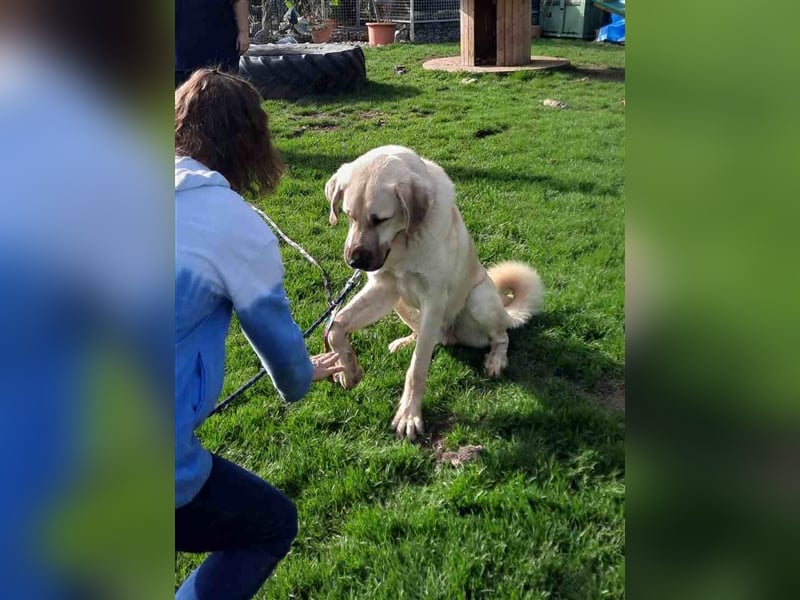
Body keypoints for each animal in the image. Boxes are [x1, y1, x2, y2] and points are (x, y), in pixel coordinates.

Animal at [324, 145, 544, 436]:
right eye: (349, 215)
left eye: (380, 219)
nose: (354, 262)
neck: (404, 241)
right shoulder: (384, 290)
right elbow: (335, 325)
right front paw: (348, 370)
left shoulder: (434, 299)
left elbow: (417, 367)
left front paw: (408, 415)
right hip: (401, 305)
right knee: (429, 337)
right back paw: (406, 341)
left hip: (480, 300)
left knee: (501, 337)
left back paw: (496, 360)